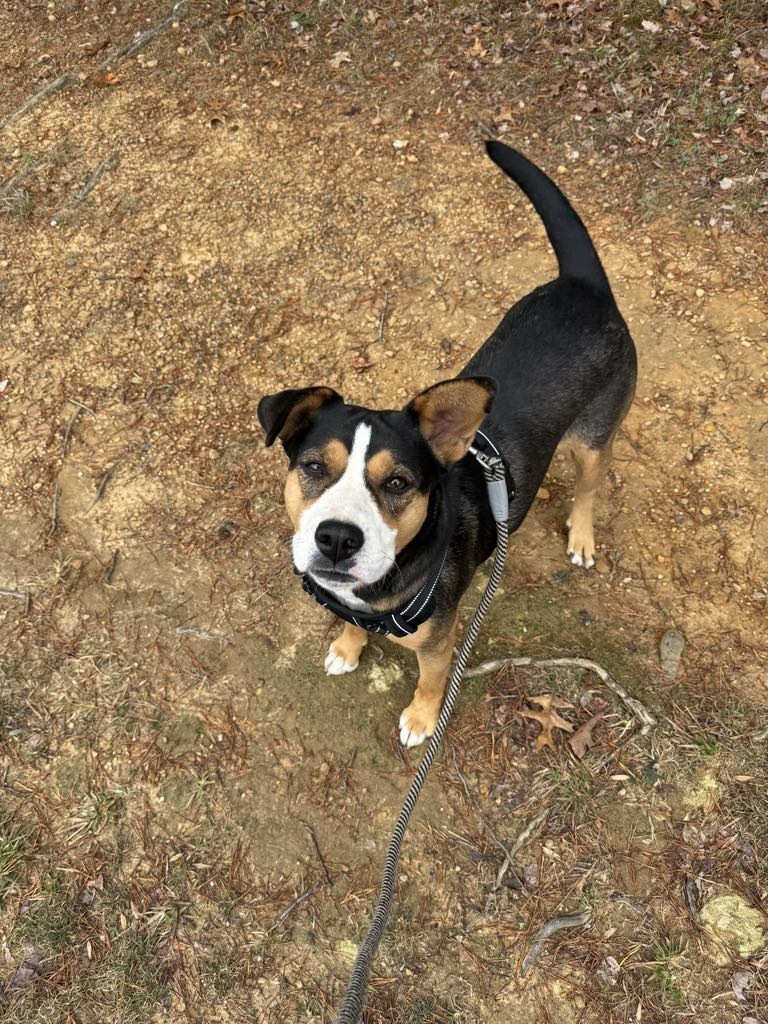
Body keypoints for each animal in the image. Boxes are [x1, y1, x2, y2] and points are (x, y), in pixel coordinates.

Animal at [259, 142, 638, 745]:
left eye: (397, 482)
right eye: (315, 467)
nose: (336, 539)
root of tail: (587, 284)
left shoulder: (439, 642)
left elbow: (432, 680)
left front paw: (420, 719)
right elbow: (349, 625)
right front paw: (348, 648)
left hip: (594, 437)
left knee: (587, 487)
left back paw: (581, 536)